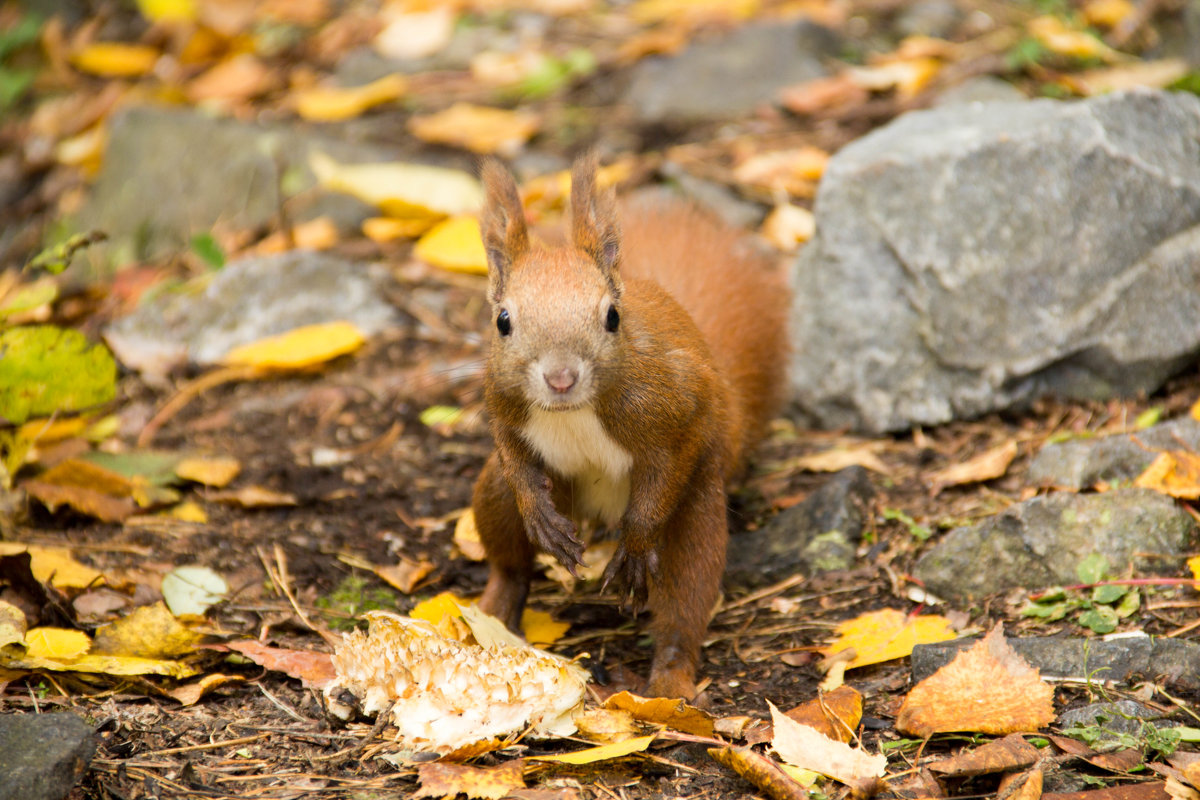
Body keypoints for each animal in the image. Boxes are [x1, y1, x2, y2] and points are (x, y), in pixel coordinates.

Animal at [472, 153, 792, 695]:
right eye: (503, 321)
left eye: (612, 317)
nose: (561, 378)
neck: (575, 412)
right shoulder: (501, 401)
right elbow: (511, 452)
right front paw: (537, 512)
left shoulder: (678, 405)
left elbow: (675, 455)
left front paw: (637, 544)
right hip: (503, 496)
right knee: (510, 561)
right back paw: (492, 611)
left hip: (697, 511)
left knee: (685, 603)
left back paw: (668, 682)